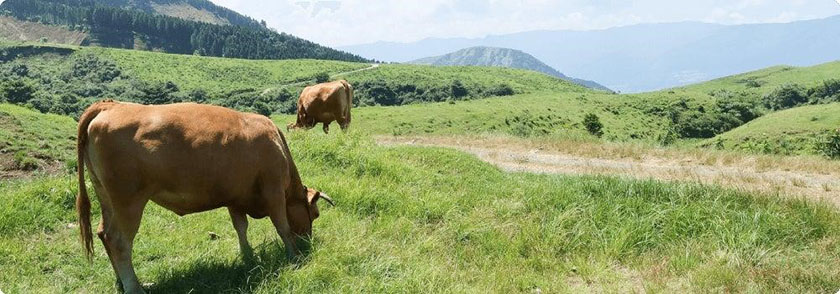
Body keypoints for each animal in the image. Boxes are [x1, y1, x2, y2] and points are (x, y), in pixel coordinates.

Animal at [75, 101, 332, 294]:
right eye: (315, 214)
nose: (307, 243)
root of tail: (110, 105)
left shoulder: (235, 198)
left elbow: (241, 227)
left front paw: (248, 257)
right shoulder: (274, 191)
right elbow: (283, 227)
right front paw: (293, 256)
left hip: (106, 199)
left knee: (103, 234)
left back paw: (120, 281)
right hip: (128, 202)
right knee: (119, 241)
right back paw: (134, 287)